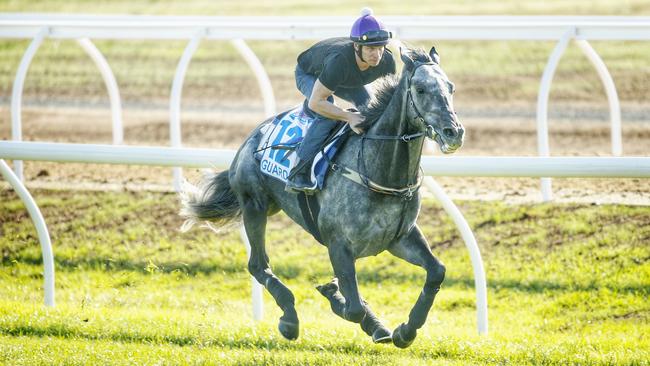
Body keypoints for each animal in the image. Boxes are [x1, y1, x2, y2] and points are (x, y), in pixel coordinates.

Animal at [180, 46, 464, 348]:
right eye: (420, 89)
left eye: (450, 87)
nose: (454, 132)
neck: (378, 170)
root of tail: (252, 137)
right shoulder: (338, 243)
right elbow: (353, 307)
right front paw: (338, 298)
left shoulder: (400, 237)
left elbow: (437, 271)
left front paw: (405, 330)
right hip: (254, 205)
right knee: (258, 264)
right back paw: (289, 319)